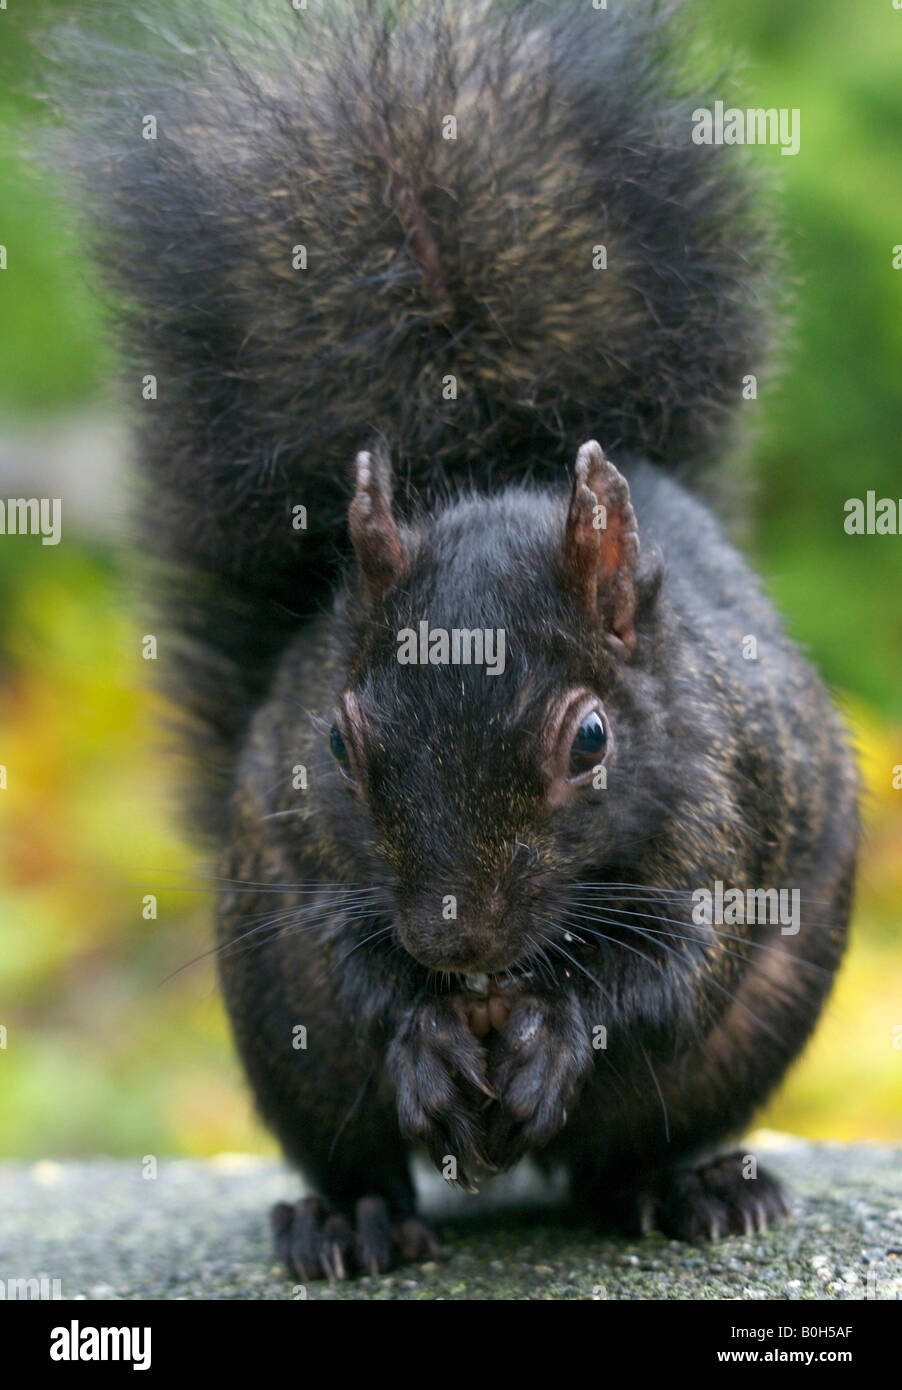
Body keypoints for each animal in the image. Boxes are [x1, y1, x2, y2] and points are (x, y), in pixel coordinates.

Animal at [66, 0, 856, 1278]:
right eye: (338, 743)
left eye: (590, 741)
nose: (452, 941)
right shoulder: (313, 864)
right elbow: (351, 969)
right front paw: (427, 1036)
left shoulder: (722, 808)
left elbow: (677, 968)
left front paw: (558, 1031)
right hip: (277, 1024)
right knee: (352, 1147)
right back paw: (344, 1217)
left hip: (744, 1044)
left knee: (626, 1154)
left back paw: (691, 1184)